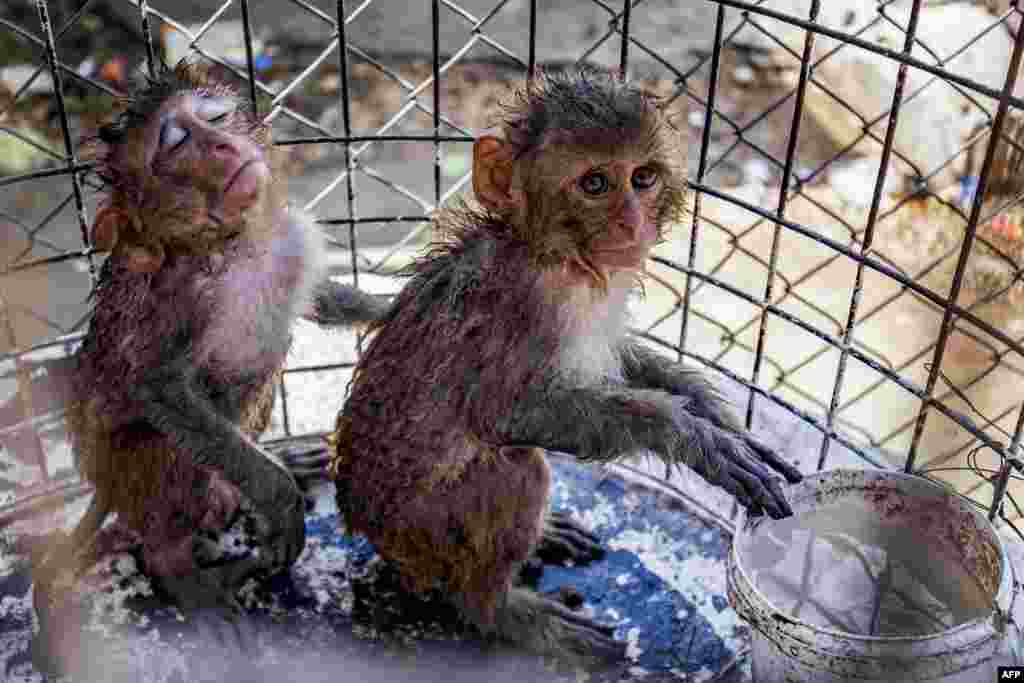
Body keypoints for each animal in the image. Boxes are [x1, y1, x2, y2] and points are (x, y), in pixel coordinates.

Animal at [33, 60, 386, 621]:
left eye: (215, 118)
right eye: (177, 143)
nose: (221, 144)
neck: (238, 243)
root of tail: (105, 485)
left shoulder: (289, 239)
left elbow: (320, 301)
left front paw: (397, 305)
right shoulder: (181, 297)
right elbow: (160, 388)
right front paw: (280, 500)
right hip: (130, 469)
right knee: (168, 455)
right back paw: (179, 570)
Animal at [327, 68, 804, 664]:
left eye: (643, 178)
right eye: (595, 184)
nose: (633, 223)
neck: (558, 258)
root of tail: (371, 535)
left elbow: (616, 362)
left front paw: (718, 418)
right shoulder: (521, 307)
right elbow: (507, 414)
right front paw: (689, 436)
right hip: (425, 534)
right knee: (516, 468)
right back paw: (499, 609)